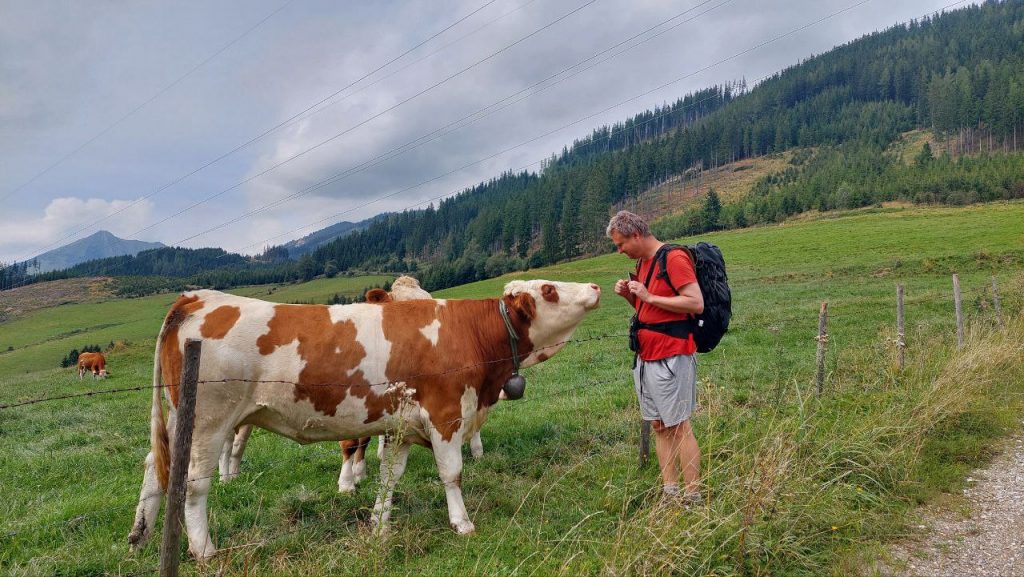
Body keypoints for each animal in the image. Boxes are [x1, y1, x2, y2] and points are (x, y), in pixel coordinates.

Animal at [128, 279, 601, 559]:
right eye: (550, 290)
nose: (595, 286)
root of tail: (198, 296)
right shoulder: (446, 414)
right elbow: (452, 473)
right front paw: (462, 524)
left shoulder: (403, 425)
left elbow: (390, 475)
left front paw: (378, 525)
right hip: (209, 422)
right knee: (193, 484)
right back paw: (203, 549)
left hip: (180, 418)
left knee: (155, 467)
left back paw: (140, 535)